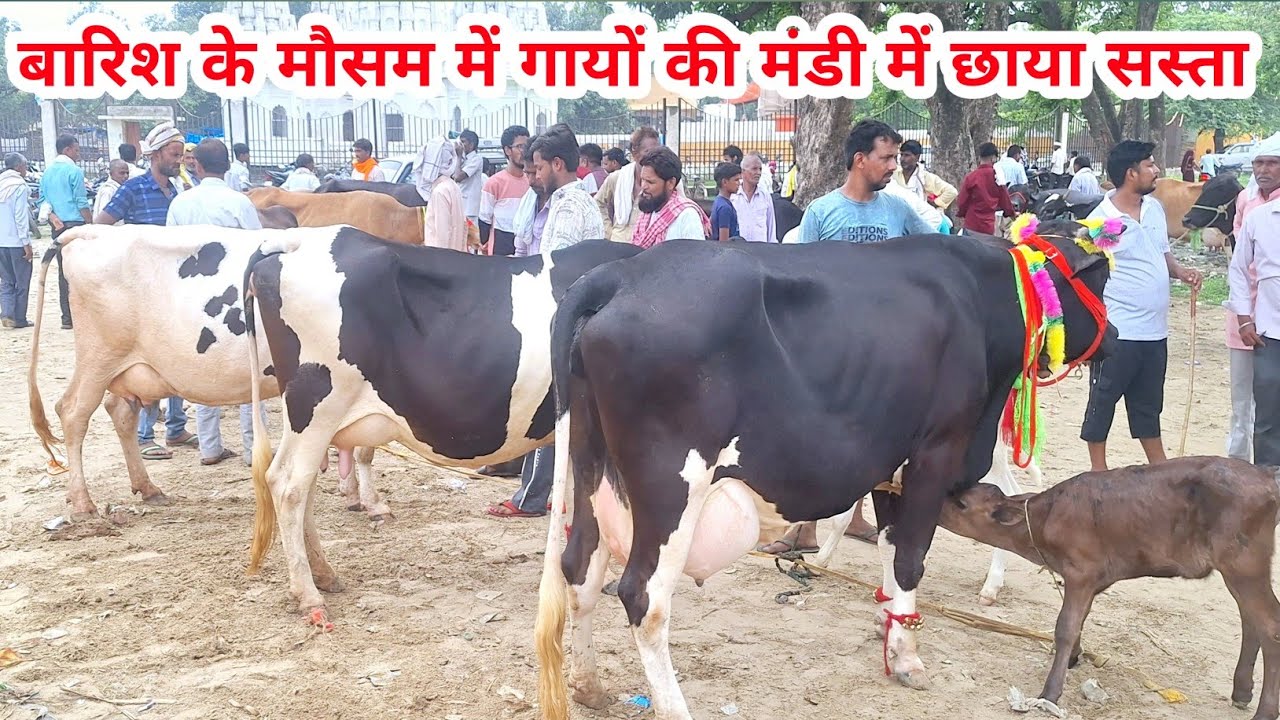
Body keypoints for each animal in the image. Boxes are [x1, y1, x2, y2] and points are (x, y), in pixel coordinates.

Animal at [26, 224, 389, 522]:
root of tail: (91, 231)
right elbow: (365, 447)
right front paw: (371, 501)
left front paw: (353, 495)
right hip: (98, 357)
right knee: (73, 412)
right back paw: (83, 503)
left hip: (129, 367)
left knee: (120, 412)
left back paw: (147, 488)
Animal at [242, 234, 643, 621]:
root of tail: (295, 243)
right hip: (316, 404)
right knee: (289, 487)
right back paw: (309, 596)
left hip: (310, 418)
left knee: (299, 485)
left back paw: (324, 575)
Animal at [533, 221, 1117, 720]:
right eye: (1103, 279)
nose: (1112, 339)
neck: (979, 296)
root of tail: (619, 274)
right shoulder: (936, 451)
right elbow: (911, 557)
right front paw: (909, 656)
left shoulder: (889, 461)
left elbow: (889, 544)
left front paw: (890, 629)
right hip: (671, 486)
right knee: (644, 596)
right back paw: (673, 706)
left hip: (590, 465)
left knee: (580, 566)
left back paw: (588, 685)